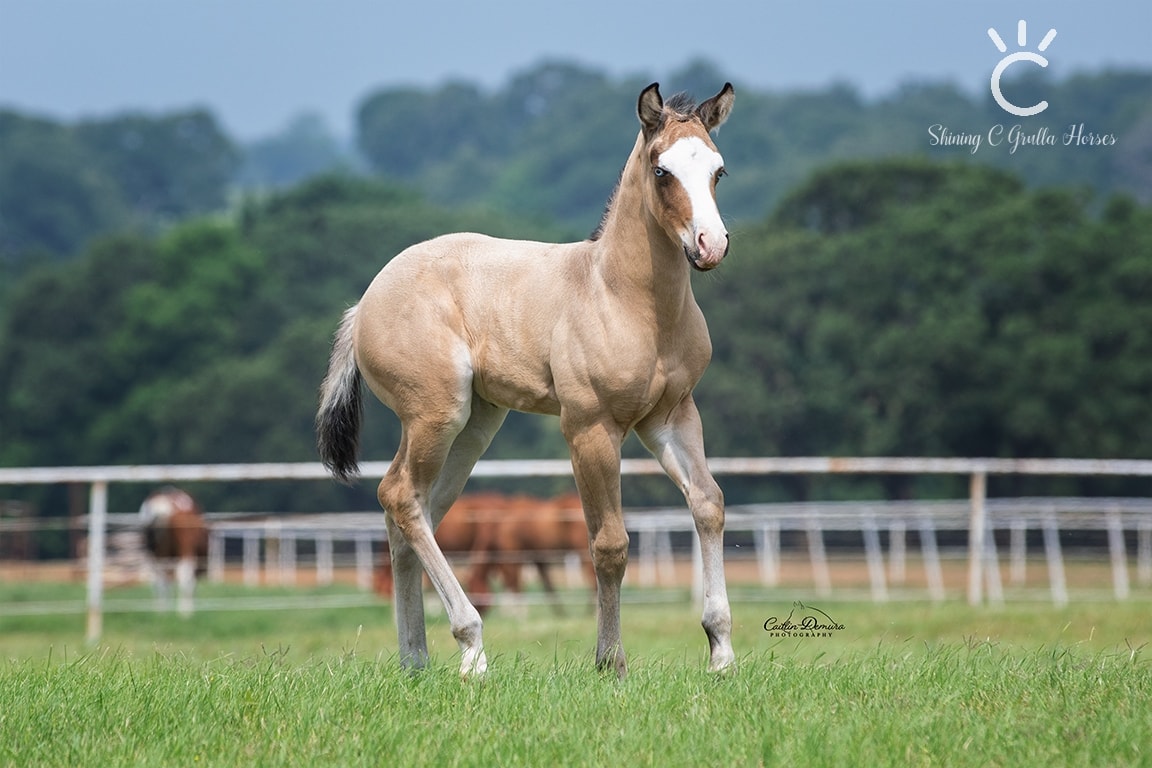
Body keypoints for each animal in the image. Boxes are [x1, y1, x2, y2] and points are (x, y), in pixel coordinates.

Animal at [140, 485, 210, 617]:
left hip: (153, 553)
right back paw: (185, 612)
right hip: (184, 549)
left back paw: (161, 611)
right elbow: (189, 581)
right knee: (183, 575)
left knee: (157, 578)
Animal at [315, 81, 737, 677]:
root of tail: (364, 304)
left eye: (718, 170)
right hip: (435, 416)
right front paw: (611, 663)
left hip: (473, 428)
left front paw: (721, 653)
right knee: (398, 495)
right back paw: (471, 649)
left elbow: (708, 504)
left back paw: (415, 660)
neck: (627, 299)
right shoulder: (590, 428)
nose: (710, 245)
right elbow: (609, 544)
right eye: (661, 170)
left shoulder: (672, 417)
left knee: (411, 514)